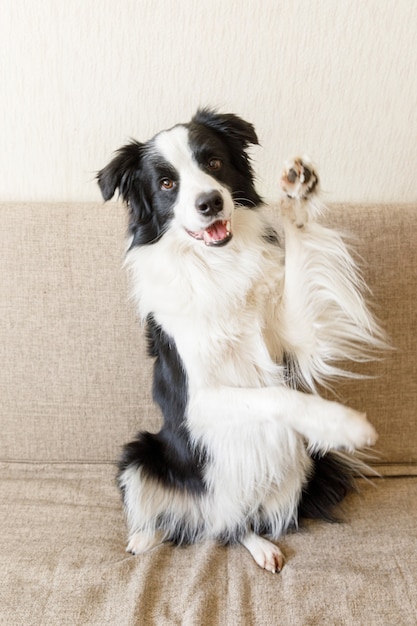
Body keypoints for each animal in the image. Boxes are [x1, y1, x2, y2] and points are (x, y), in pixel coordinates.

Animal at [97, 108, 384, 572]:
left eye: (213, 161)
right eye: (166, 183)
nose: (210, 203)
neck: (216, 266)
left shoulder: (296, 338)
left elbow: (299, 251)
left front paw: (297, 196)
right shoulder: (198, 401)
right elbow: (274, 395)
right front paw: (343, 424)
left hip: (296, 463)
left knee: (238, 523)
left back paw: (260, 546)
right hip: (140, 454)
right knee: (188, 520)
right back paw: (142, 538)